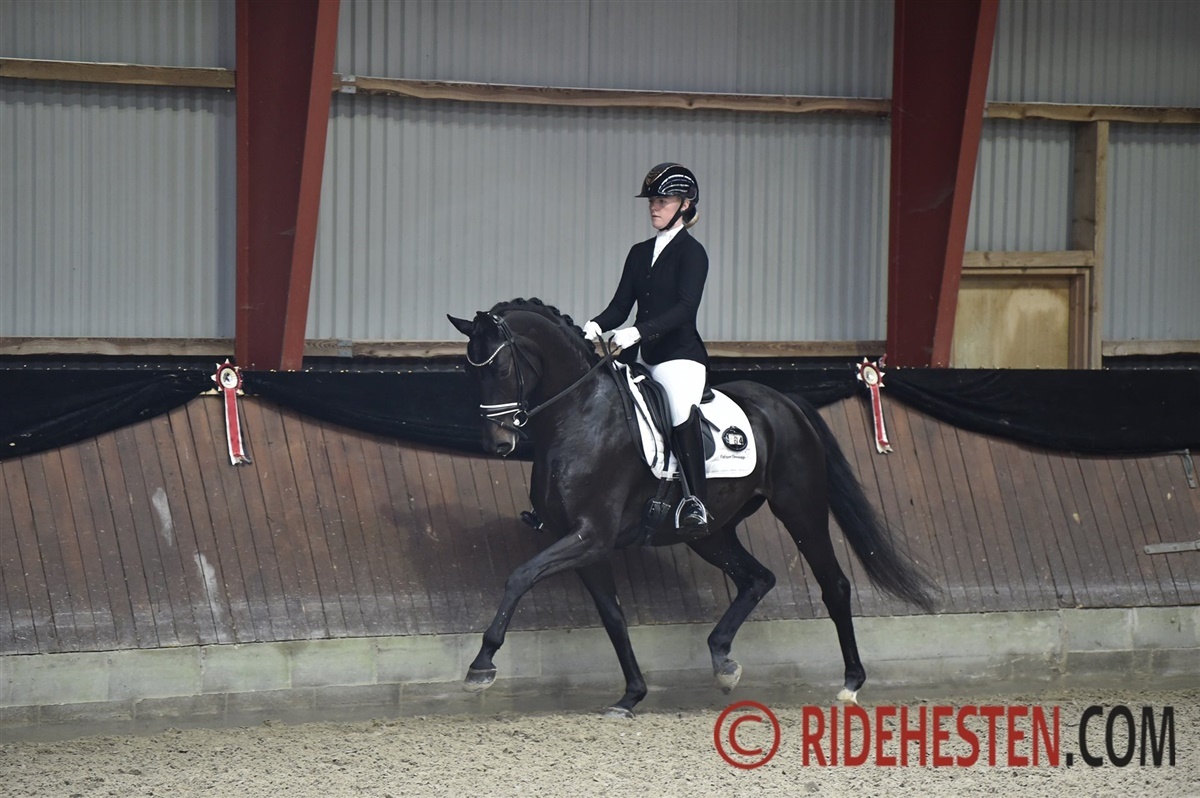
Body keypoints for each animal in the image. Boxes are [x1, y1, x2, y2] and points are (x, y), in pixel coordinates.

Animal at [448, 298, 937, 718]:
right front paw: (631, 695)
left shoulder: (590, 536)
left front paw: (481, 666)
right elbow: (613, 616)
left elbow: (519, 577)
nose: (498, 444)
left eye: (501, 366)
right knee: (757, 578)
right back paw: (723, 662)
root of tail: (785, 402)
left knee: (833, 584)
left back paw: (851, 683)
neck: (580, 416)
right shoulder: (583, 543)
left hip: (801, 509)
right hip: (710, 532)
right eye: (469, 371)